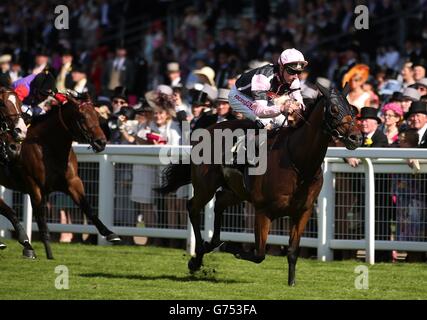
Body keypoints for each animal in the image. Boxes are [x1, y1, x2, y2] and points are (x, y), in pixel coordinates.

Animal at [0, 94, 120, 258]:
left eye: (97, 116)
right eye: (82, 117)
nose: (101, 142)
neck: (49, 147)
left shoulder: (73, 183)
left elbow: (88, 208)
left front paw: (110, 233)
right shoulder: (34, 187)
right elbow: (42, 222)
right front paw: (48, 254)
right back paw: (25, 243)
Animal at [155, 84, 362, 286]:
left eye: (352, 109)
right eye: (334, 109)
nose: (356, 137)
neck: (298, 162)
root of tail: (207, 129)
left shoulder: (303, 211)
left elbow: (292, 252)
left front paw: (291, 283)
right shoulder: (263, 210)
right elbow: (259, 254)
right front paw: (231, 246)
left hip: (237, 191)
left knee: (220, 202)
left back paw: (210, 245)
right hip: (206, 186)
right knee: (193, 207)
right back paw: (197, 257)